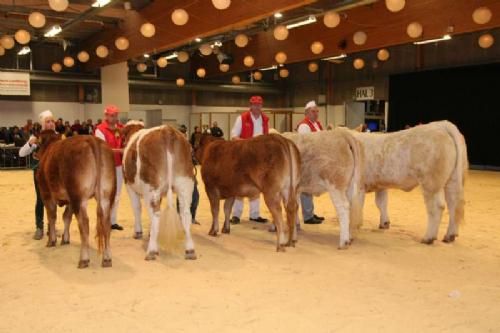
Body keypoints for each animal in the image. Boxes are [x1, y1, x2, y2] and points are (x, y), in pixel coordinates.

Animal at [36, 130, 116, 268]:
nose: (35, 154)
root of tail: (92, 140)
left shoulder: (47, 194)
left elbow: (52, 217)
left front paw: (52, 240)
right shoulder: (69, 200)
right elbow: (66, 217)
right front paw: (65, 238)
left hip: (79, 197)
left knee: (84, 223)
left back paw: (84, 259)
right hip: (105, 196)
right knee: (106, 223)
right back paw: (107, 259)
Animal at [121, 121, 197, 260]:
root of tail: (167, 130)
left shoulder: (129, 186)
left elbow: (136, 208)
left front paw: (138, 232)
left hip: (151, 187)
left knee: (155, 214)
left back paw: (152, 250)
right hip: (185, 183)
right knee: (185, 214)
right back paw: (190, 250)